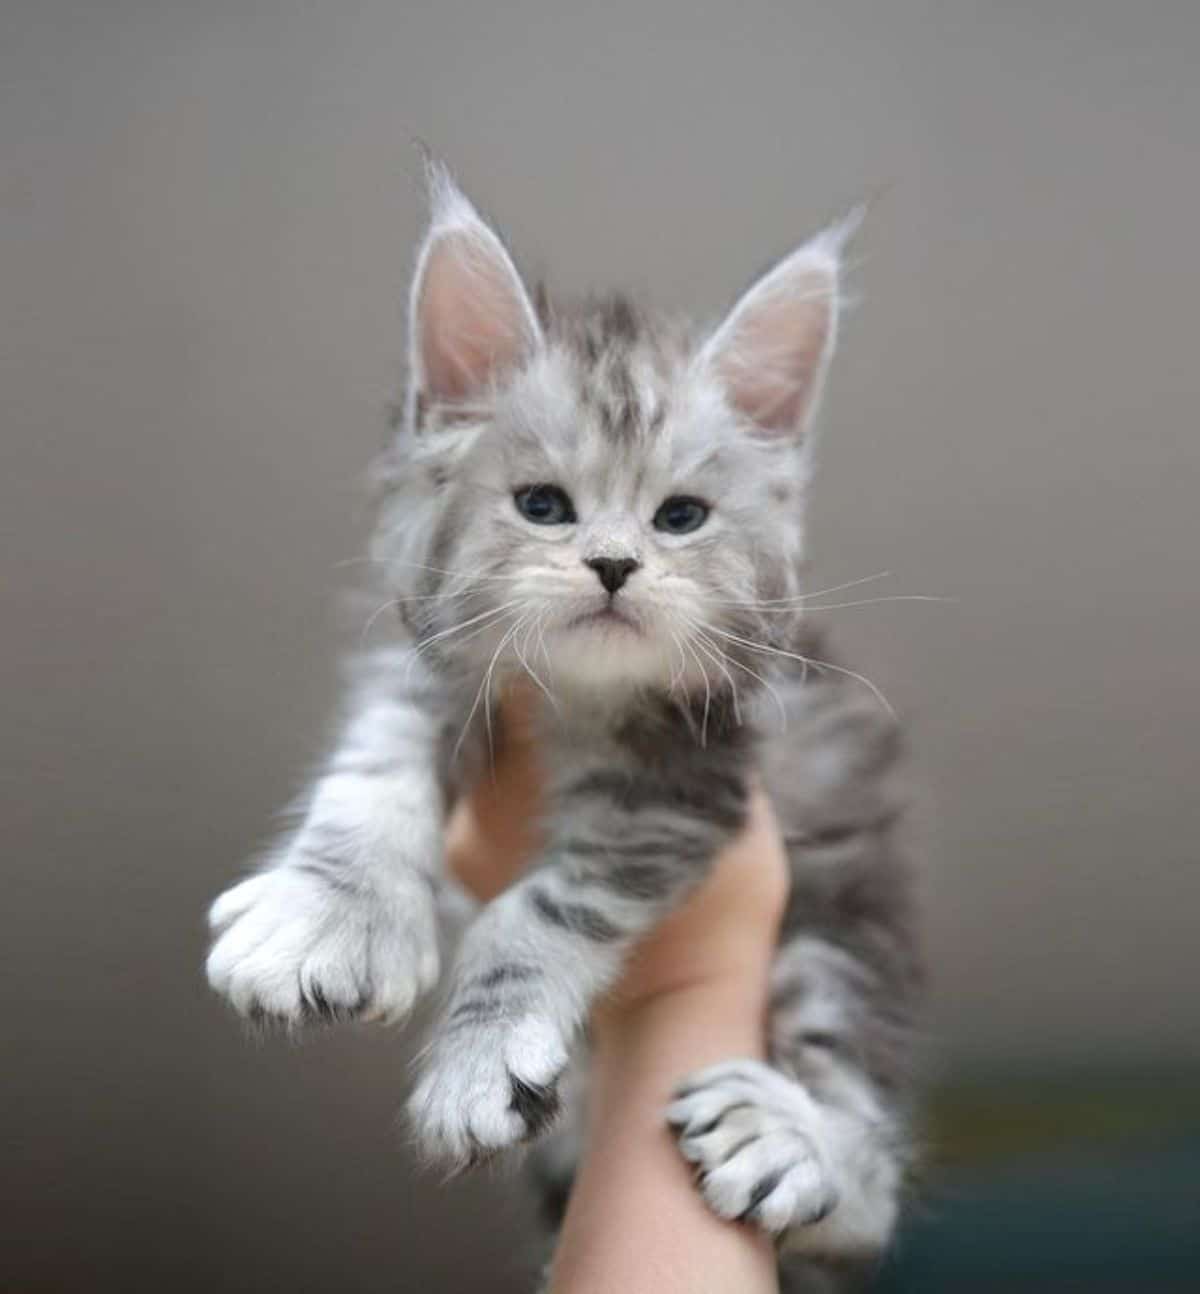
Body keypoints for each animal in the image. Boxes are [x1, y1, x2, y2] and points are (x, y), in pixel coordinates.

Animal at [204, 164, 921, 1283]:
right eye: (542, 505)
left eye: (680, 518)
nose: (615, 564)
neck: (574, 698)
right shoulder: (427, 663)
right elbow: (370, 771)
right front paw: (330, 913)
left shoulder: (692, 776)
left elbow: (539, 910)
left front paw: (476, 1057)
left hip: (846, 906)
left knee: (854, 1100)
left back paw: (799, 1140)